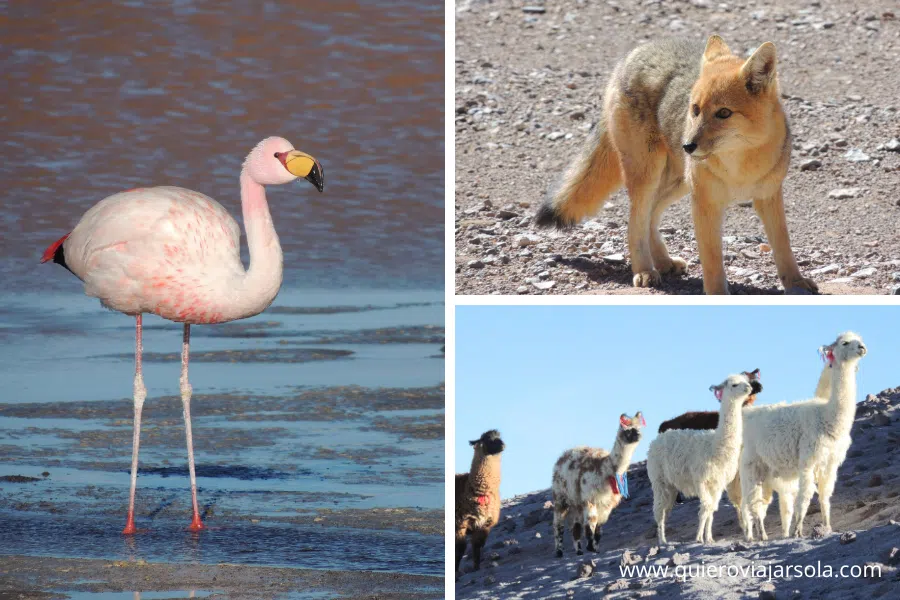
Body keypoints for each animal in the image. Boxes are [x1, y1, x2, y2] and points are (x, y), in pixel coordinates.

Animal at [535, 35, 818, 295]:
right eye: (695, 109)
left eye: (724, 113)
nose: (688, 146)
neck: (740, 169)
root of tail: (637, 50)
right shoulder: (705, 203)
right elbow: (712, 259)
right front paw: (717, 293)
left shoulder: (768, 196)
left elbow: (783, 246)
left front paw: (795, 282)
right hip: (649, 176)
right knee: (635, 222)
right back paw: (645, 270)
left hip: (678, 182)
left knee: (650, 216)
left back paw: (663, 262)